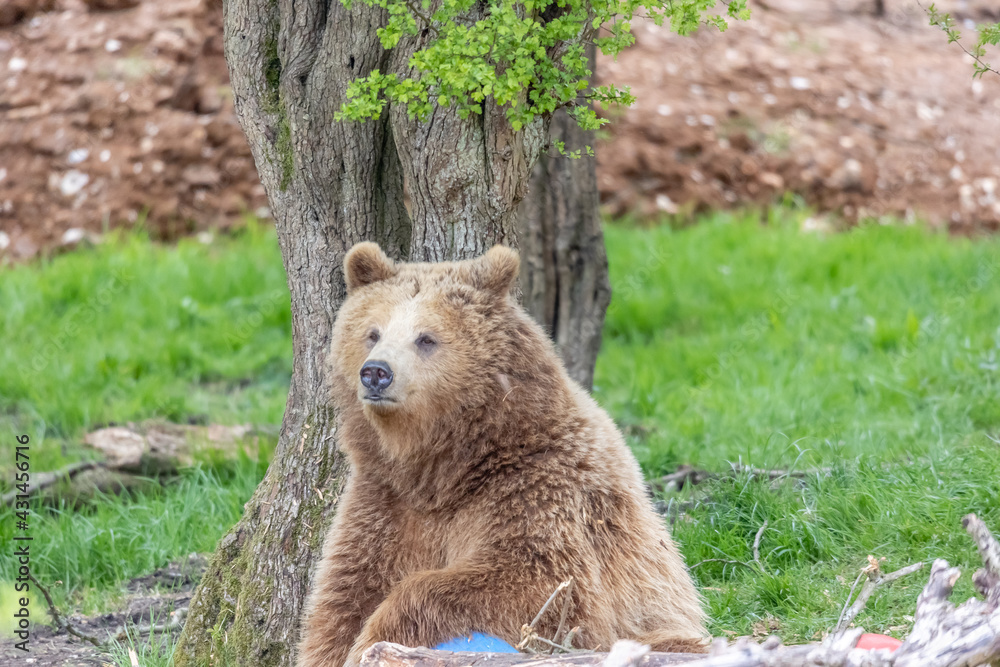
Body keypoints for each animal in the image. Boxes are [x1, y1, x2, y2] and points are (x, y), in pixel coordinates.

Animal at [296, 242, 706, 667]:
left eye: (426, 338)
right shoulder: (385, 502)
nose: (376, 372)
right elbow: (343, 598)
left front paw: (375, 638)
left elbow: (538, 583)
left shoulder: (534, 487)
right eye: (372, 332)